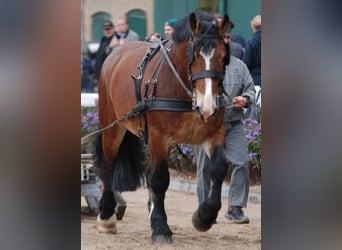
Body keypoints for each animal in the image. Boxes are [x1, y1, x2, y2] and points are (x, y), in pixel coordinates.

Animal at [95, 12, 231, 244]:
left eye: (223, 58)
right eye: (193, 57)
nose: (207, 107)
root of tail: (116, 53)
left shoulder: (213, 133)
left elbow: (218, 168)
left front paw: (204, 216)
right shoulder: (159, 137)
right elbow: (159, 179)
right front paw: (160, 227)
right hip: (112, 126)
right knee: (108, 166)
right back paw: (106, 217)